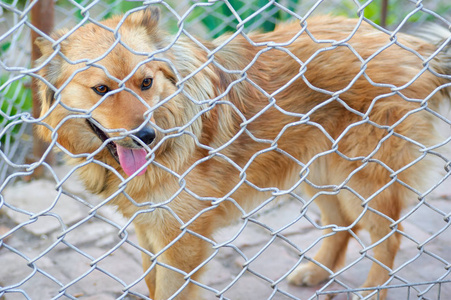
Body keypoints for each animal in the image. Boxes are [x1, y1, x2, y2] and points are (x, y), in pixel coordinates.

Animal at [36, 6, 451, 300]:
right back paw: (317, 272)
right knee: (344, 224)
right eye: (101, 89)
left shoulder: (182, 241)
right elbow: (153, 285)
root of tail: (416, 49)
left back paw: (370, 290)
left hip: (365, 177)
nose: (146, 137)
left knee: (389, 237)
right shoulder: (149, 227)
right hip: (319, 171)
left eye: (146, 82)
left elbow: (170, 292)